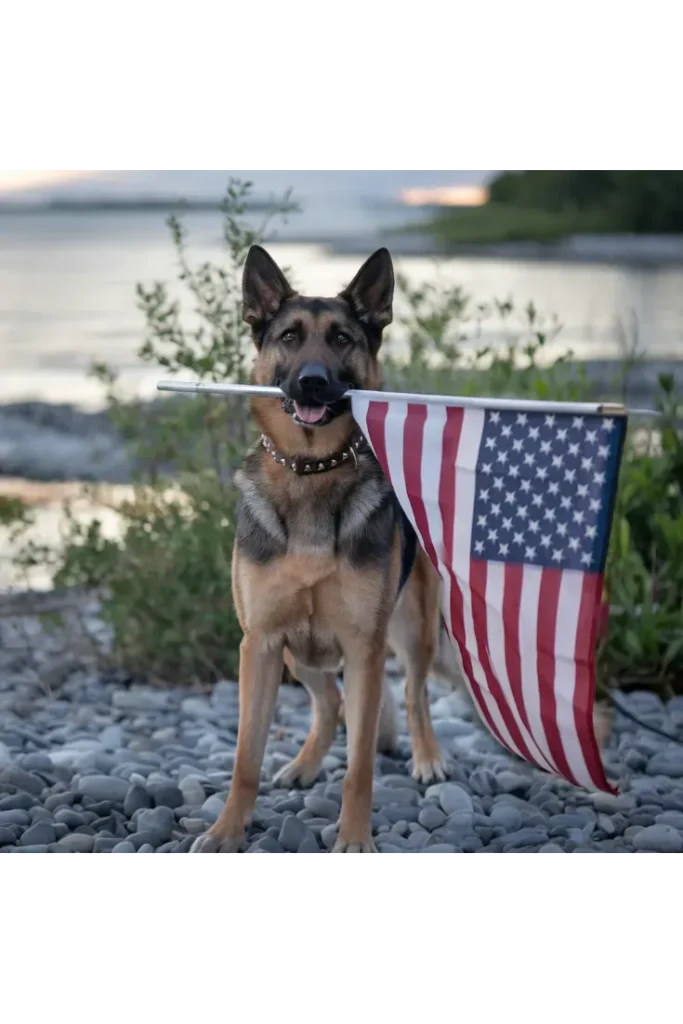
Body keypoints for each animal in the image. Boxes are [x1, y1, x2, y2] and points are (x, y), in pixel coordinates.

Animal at [192, 243, 614, 851]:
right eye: (290, 336)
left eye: (342, 338)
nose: (313, 382)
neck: (312, 470)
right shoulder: (262, 644)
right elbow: (245, 757)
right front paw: (227, 830)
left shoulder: (365, 650)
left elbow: (361, 764)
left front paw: (354, 837)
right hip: (298, 653)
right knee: (329, 702)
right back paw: (304, 764)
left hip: (410, 631)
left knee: (412, 697)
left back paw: (428, 758)